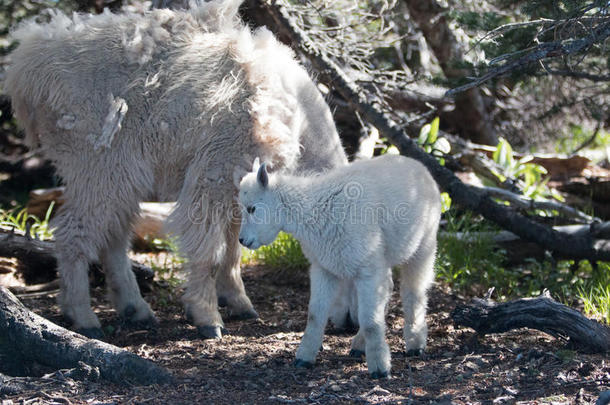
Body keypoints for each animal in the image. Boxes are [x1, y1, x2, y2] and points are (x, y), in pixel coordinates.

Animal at [235, 155, 440, 376]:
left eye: (252, 208)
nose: (243, 240)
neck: (314, 212)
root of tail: (419, 167)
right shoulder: (323, 267)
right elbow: (315, 315)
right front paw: (304, 358)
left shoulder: (366, 269)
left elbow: (370, 321)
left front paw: (379, 368)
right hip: (382, 258)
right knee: (387, 290)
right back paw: (359, 345)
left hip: (424, 244)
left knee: (413, 292)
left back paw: (415, 344)